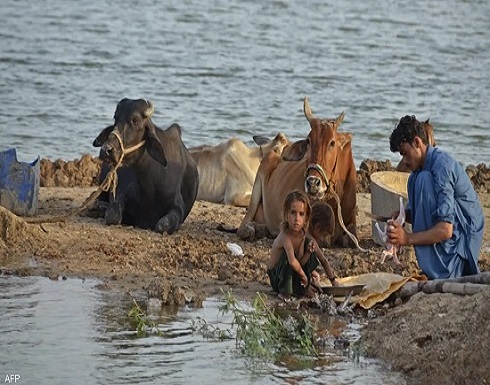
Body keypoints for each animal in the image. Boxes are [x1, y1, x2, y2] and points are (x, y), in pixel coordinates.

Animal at [92, 97, 199, 232]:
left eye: (135, 120)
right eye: (115, 117)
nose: (106, 150)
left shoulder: (178, 207)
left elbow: (162, 225)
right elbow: (113, 216)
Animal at [238, 95, 360, 246]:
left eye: (332, 143)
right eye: (308, 141)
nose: (312, 182)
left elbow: (351, 238)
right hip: (265, 165)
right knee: (244, 223)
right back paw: (252, 230)